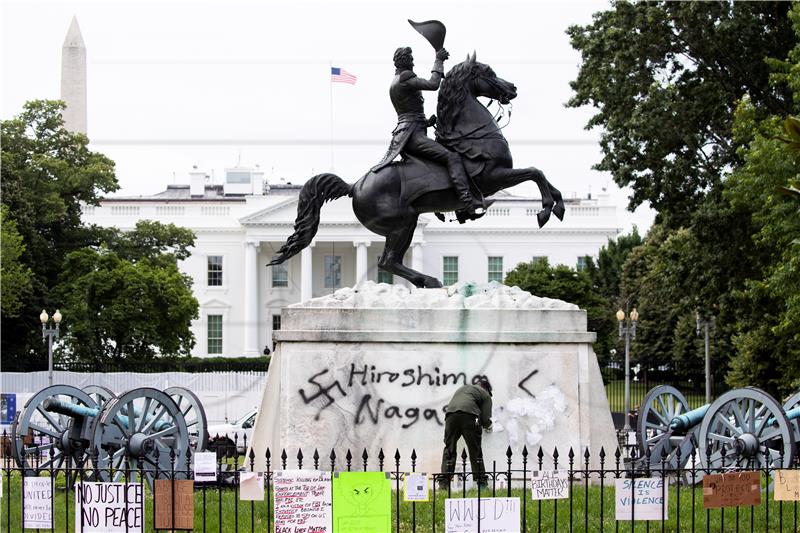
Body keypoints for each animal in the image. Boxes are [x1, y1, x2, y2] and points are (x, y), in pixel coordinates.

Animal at [268, 53, 564, 286]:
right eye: (488, 72)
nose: (512, 88)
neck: (472, 136)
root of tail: (354, 186)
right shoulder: (493, 177)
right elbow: (535, 172)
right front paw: (545, 210)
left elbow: (542, 176)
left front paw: (557, 206)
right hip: (404, 222)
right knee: (387, 262)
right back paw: (430, 280)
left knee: (390, 261)